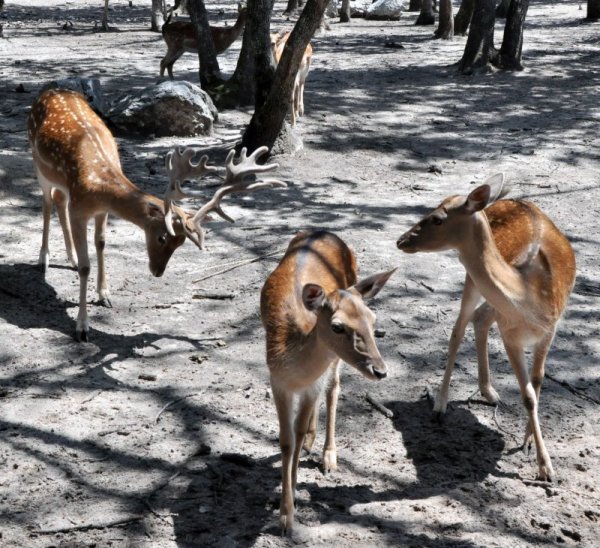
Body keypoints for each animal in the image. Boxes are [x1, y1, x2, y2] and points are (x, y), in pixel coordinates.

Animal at [25, 88, 284, 340]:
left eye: (181, 243)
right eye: (161, 237)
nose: (158, 272)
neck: (98, 185)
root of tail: (48, 90)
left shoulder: (102, 211)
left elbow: (101, 243)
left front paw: (104, 295)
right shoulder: (79, 208)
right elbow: (86, 267)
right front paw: (82, 327)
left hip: (59, 181)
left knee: (59, 200)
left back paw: (71, 258)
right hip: (39, 165)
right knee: (47, 202)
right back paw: (43, 259)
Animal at [262, 231, 394, 532]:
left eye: (373, 319)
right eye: (337, 326)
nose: (380, 371)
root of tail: (322, 232)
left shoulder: (313, 384)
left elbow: (298, 433)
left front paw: (291, 502)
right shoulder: (277, 381)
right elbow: (287, 441)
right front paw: (284, 515)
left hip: (334, 362)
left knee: (334, 388)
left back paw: (329, 456)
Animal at [396, 176, 576, 480]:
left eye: (437, 219)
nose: (401, 240)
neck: (529, 295)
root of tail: (500, 200)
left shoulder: (549, 330)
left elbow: (538, 382)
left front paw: (529, 443)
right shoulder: (510, 336)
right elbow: (528, 396)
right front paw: (546, 468)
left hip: (489, 298)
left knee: (479, 319)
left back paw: (489, 392)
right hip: (472, 281)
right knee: (458, 329)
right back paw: (440, 405)